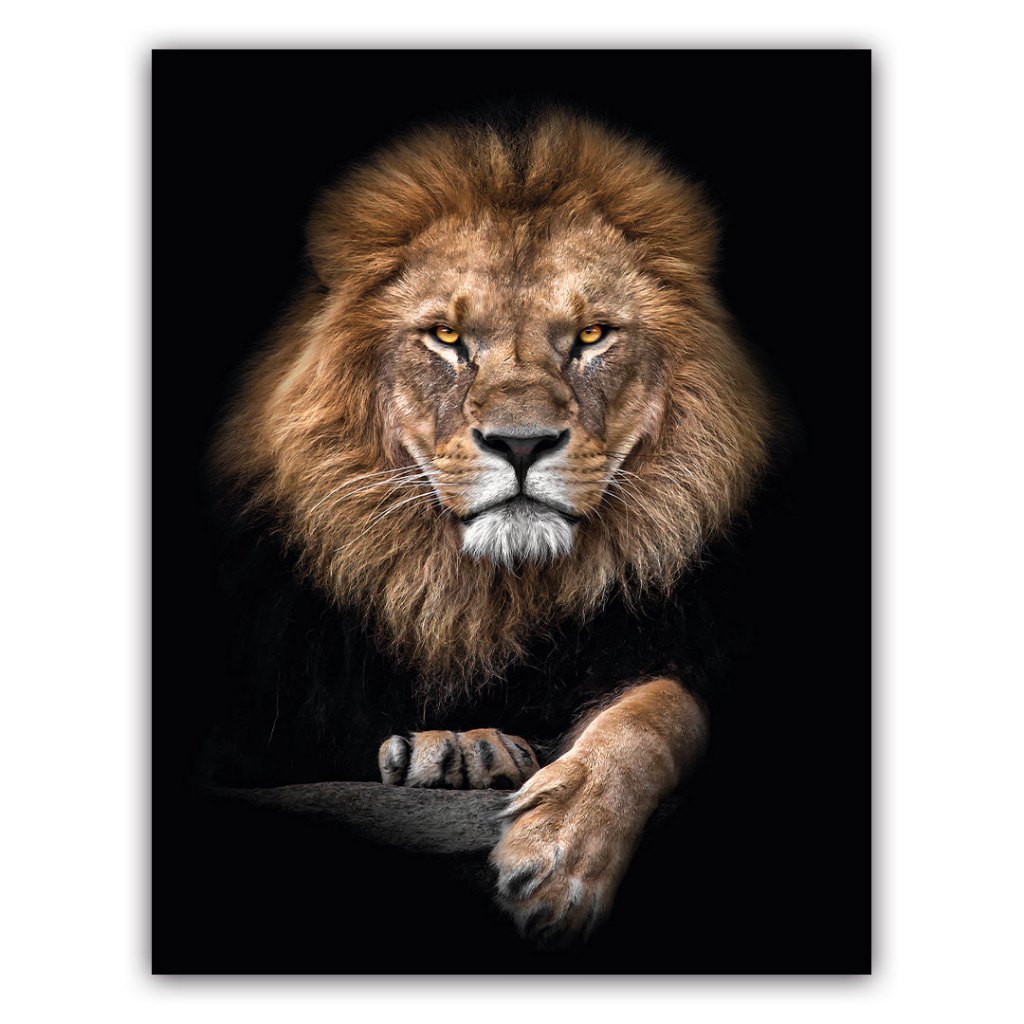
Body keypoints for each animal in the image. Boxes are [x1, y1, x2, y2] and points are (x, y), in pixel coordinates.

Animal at [208, 109, 774, 947]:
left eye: (592, 336)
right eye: (446, 339)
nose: (521, 443)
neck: (486, 595)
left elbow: (656, 714)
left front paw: (562, 854)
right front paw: (457, 748)